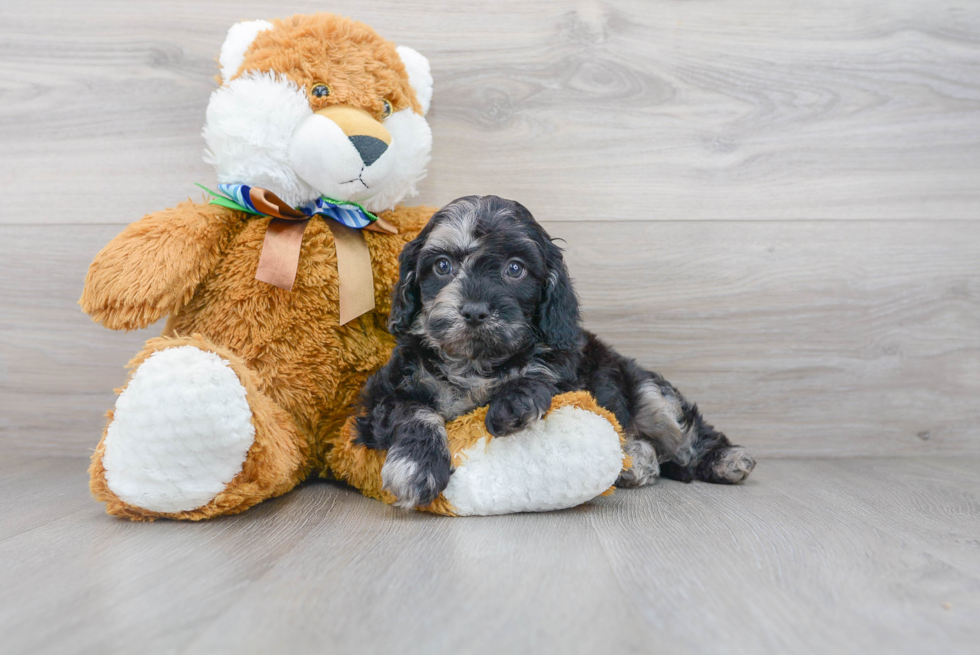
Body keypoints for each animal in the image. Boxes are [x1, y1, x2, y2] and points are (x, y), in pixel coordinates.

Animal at [356, 193, 756, 508]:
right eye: (442, 266)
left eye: (515, 268)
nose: (474, 310)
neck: (475, 362)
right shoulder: (383, 395)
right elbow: (414, 411)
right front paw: (417, 467)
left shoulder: (570, 375)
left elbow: (537, 374)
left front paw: (513, 402)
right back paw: (638, 460)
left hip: (649, 393)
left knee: (685, 433)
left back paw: (725, 458)